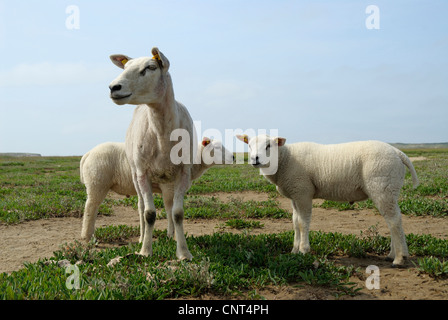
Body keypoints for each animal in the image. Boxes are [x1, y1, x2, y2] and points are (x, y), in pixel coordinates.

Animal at [80, 138, 234, 242]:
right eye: (216, 148)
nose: (233, 156)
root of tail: (87, 154)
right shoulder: (168, 188)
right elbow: (169, 211)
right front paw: (171, 235)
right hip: (97, 182)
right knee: (90, 207)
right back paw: (87, 236)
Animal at [108, 47, 194, 260]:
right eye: (125, 67)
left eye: (150, 67)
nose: (113, 87)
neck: (162, 136)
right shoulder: (142, 173)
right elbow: (149, 214)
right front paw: (145, 251)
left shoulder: (184, 172)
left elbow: (177, 213)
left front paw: (183, 252)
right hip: (134, 173)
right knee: (141, 207)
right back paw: (141, 237)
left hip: (167, 181)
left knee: (169, 206)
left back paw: (171, 235)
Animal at [238, 134, 420, 266]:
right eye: (249, 145)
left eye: (269, 146)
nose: (255, 159)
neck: (285, 159)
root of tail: (397, 152)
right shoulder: (295, 195)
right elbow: (295, 222)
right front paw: (294, 250)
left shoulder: (303, 191)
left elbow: (303, 222)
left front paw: (304, 250)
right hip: (389, 189)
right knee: (392, 220)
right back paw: (392, 254)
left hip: (382, 185)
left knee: (394, 220)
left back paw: (400, 258)